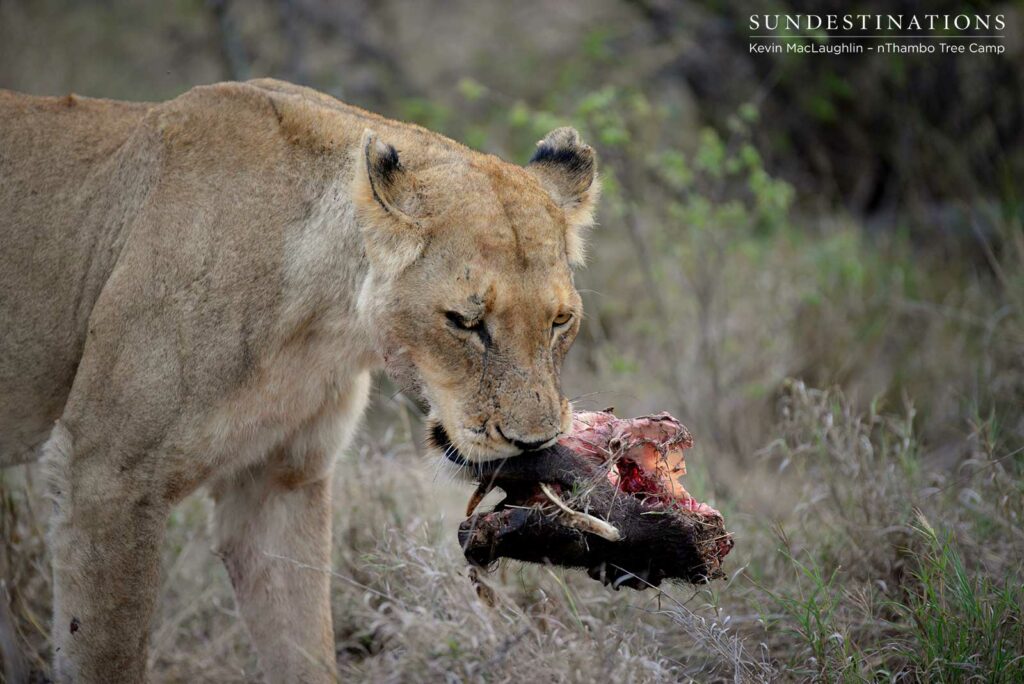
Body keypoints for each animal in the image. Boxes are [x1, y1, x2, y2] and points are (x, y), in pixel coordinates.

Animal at [0, 78, 599, 682]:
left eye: (560, 321)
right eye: (464, 322)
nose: (534, 443)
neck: (324, 323)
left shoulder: (279, 480)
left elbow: (304, 646)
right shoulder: (106, 476)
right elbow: (107, 650)